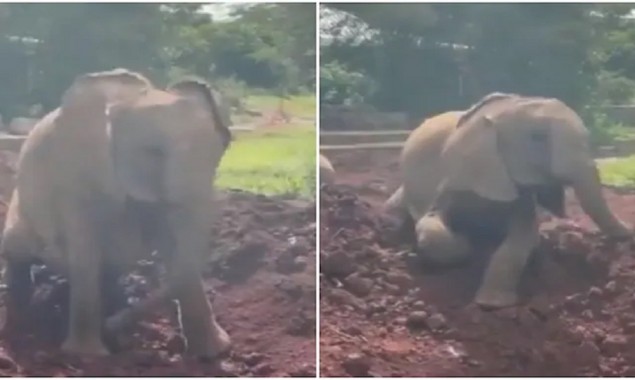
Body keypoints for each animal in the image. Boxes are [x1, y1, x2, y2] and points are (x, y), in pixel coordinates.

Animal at [0, 67, 234, 358]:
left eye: (220, 153)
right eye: (153, 152)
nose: (112, 327)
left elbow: (174, 244)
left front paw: (213, 355)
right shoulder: (73, 175)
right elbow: (85, 250)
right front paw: (87, 356)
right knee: (18, 251)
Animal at [386, 92, 632, 308]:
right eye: (537, 137)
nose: (630, 235)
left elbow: (524, 235)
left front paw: (492, 305)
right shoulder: (455, 174)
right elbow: (432, 223)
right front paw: (467, 242)